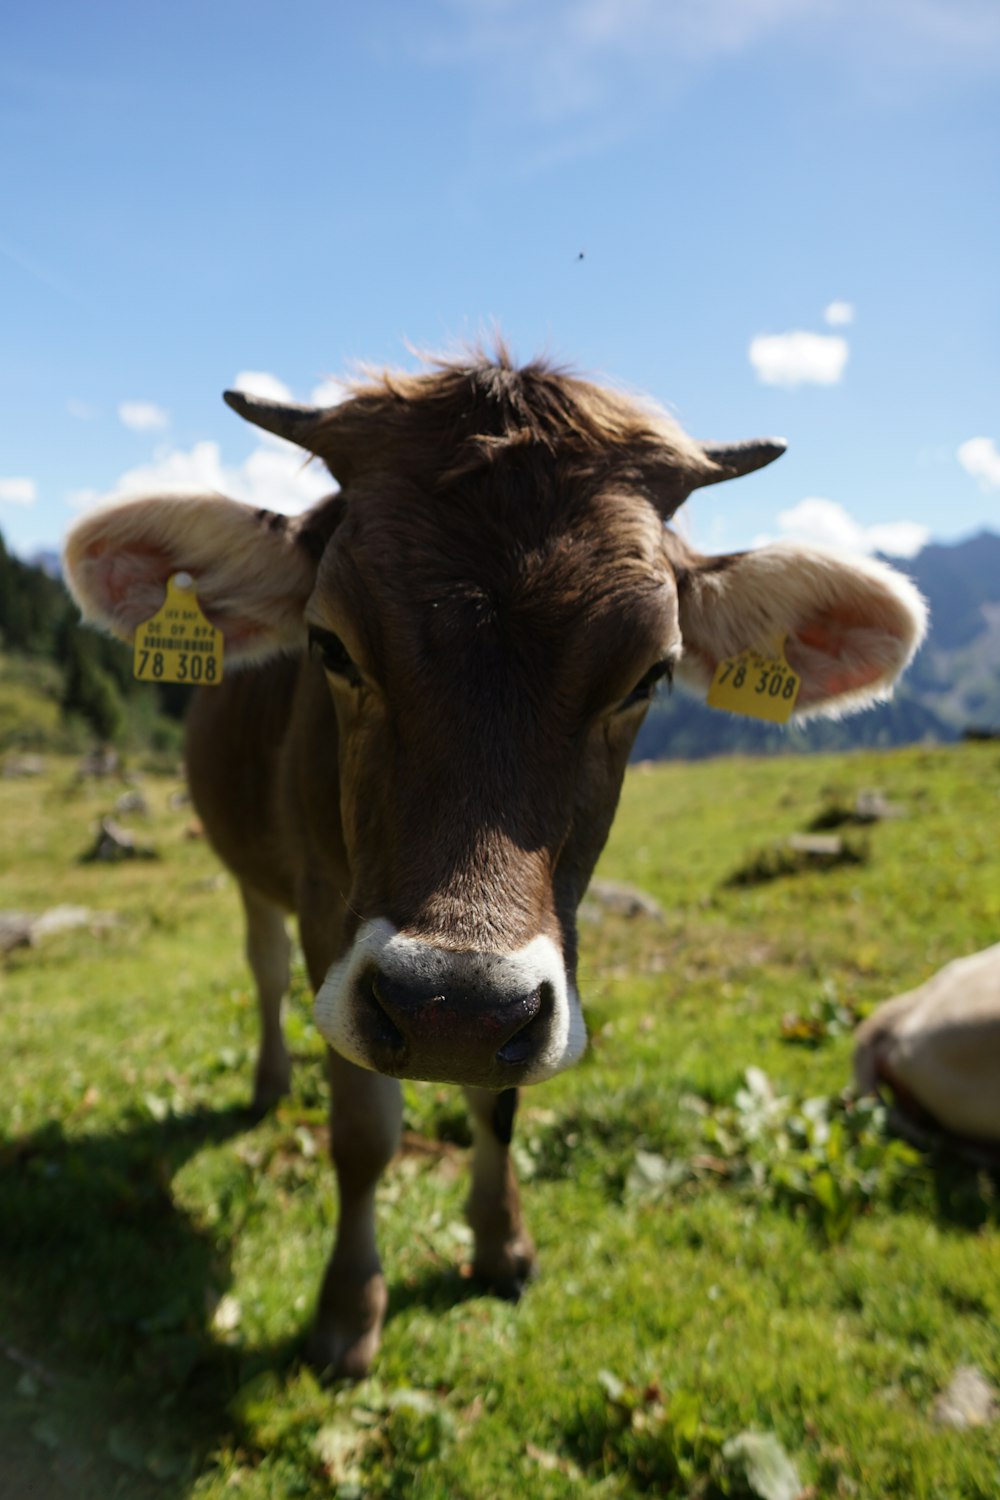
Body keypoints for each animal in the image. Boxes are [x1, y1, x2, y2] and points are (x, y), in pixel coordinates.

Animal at [62, 345, 929, 1374]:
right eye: (330, 644)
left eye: (649, 675)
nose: (453, 1010)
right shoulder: (325, 905)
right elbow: (363, 1132)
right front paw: (349, 1309)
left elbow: (501, 1101)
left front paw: (501, 1242)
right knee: (263, 967)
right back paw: (271, 1082)